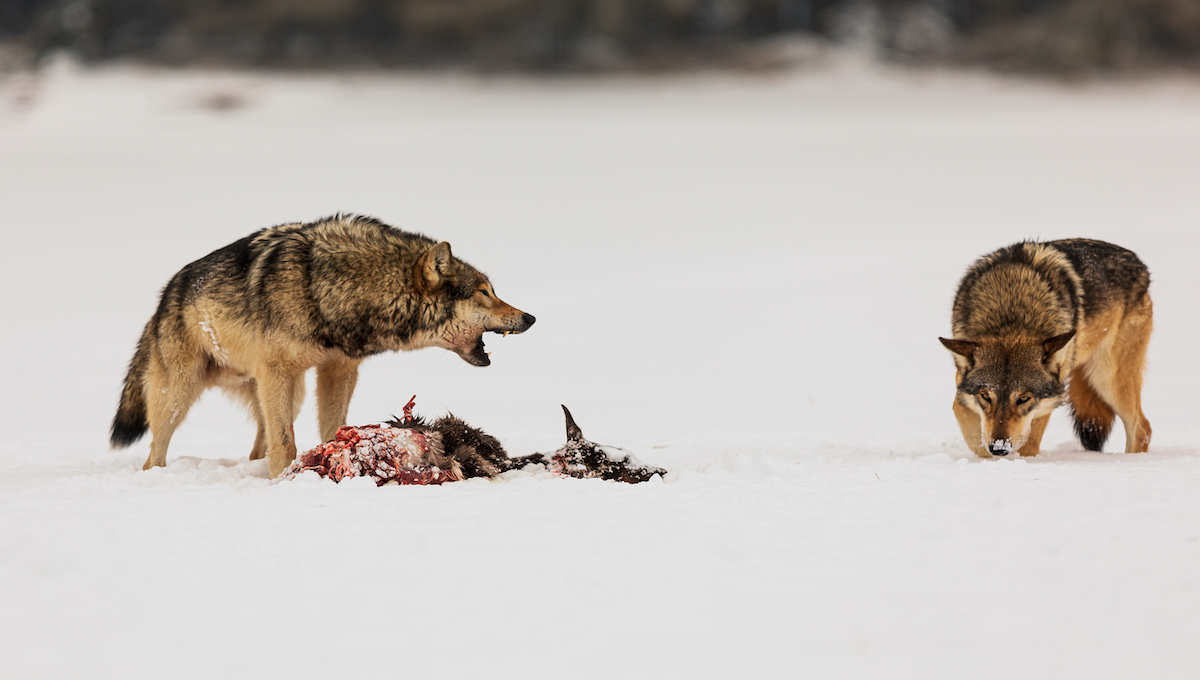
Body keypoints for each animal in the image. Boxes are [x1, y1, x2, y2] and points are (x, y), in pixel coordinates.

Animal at [111, 215, 535, 477]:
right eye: (485, 293)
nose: (530, 317)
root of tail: (166, 293)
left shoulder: (338, 369)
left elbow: (332, 427)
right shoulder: (278, 372)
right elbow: (286, 444)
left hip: (286, 392)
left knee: (258, 445)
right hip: (180, 393)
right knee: (155, 450)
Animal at [936, 239, 1152, 458]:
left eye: (1023, 398)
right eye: (986, 396)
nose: (999, 448)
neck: (1012, 315)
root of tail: (1139, 264)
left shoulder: (1044, 403)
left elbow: (1029, 444)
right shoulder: (962, 385)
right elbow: (963, 413)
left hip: (1107, 379)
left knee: (1142, 427)